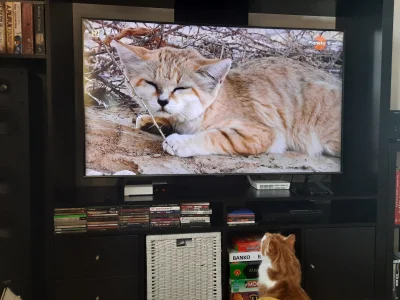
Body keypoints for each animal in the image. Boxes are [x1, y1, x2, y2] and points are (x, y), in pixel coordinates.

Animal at [111, 39, 340, 158]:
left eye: (181, 88)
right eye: (151, 84)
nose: (162, 101)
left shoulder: (263, 133)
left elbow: (217, 135)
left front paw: (181, 142)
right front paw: (153, 121)